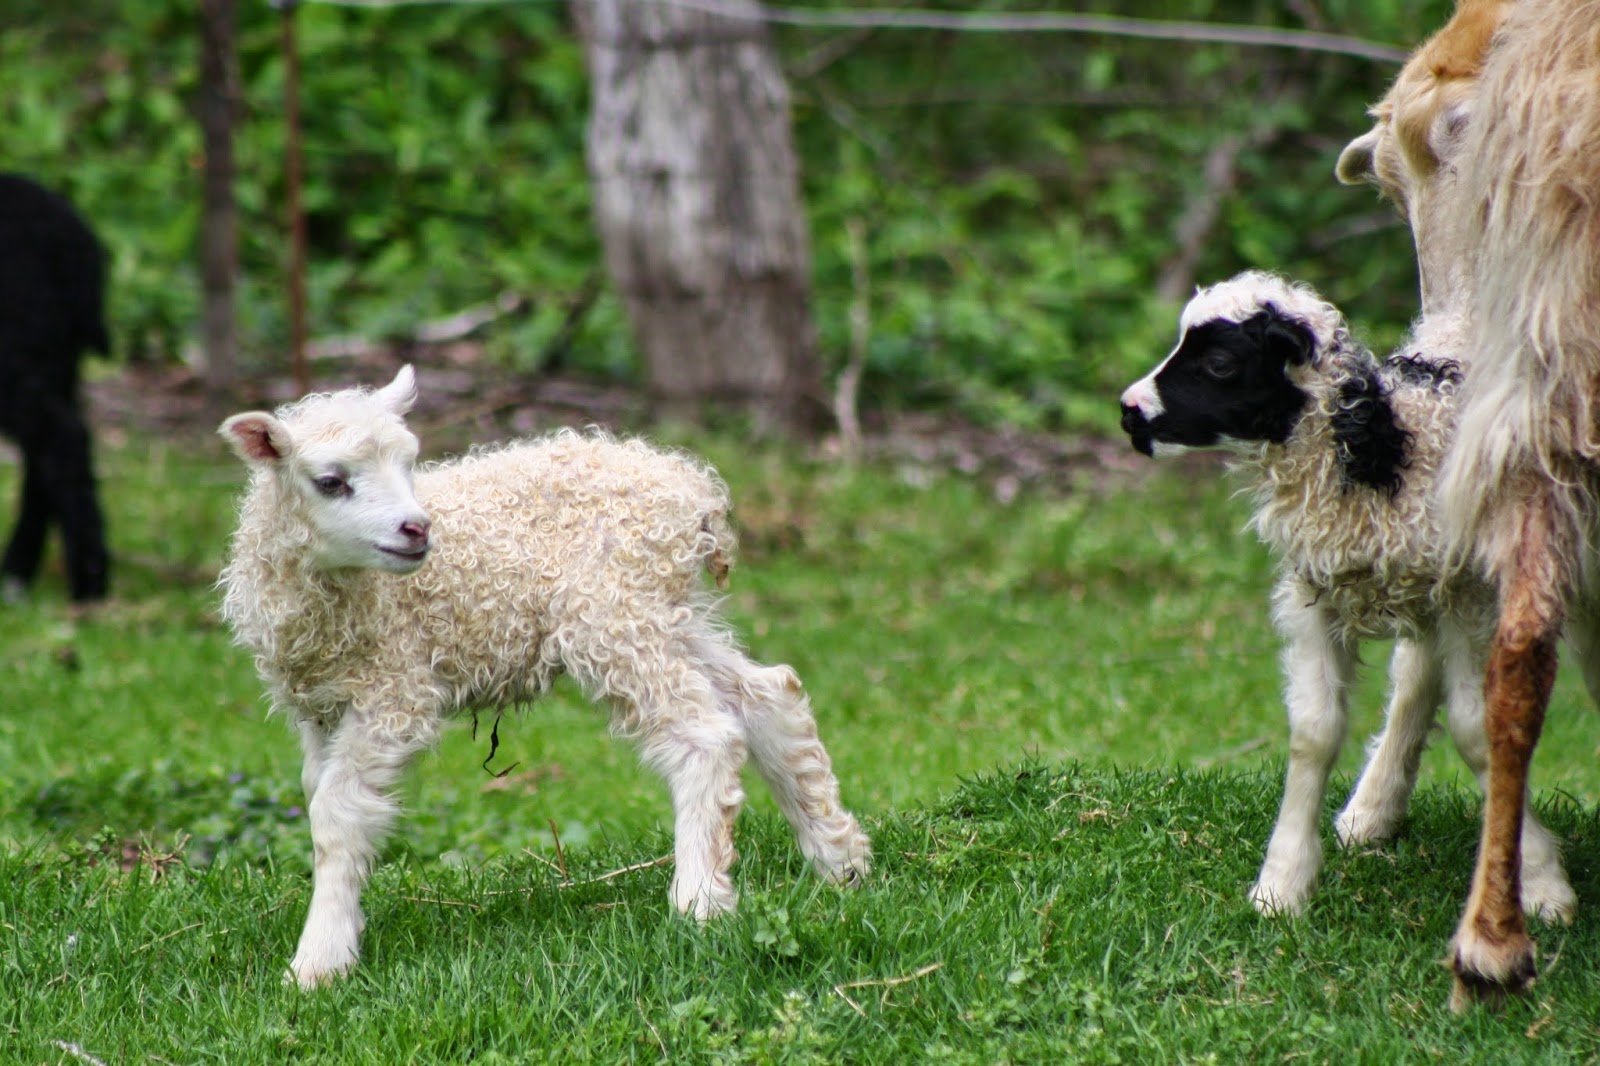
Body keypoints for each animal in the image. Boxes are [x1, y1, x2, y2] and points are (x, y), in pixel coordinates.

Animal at [217, 366, 871, 988]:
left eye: (408, 463)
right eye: (330, 481)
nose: (417, 529)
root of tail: (692, 490)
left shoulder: (395, 687)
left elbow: (337, 816)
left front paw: (318, 963)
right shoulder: (321, 703)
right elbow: (319, 794)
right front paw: (342, 931)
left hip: (611, 614)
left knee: (705, 734)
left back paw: (701, 902)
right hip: (660, 612)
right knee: (767, 693)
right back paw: (840, 859)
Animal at [1118, 271, 1574, 922]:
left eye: (1221, 363)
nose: (1129, 410)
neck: (1379, 454)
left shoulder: (1466, 596)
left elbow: (1478, 730)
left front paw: (1538, 882)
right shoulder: (1315, 596)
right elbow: (1314, 732)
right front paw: (1282, 884)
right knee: (1416, 674)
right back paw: (1372, 810)